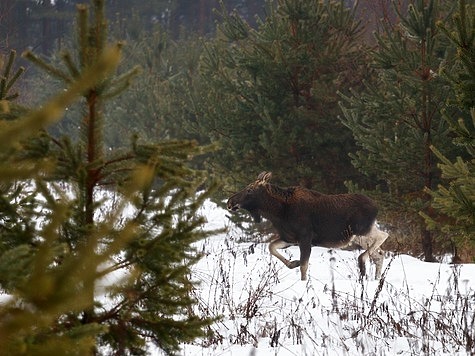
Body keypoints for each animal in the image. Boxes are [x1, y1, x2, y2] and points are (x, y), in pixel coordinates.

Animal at [228, 172, 390, 280]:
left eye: (249, 189)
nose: (230, 202)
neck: (278, 212)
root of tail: (376, 207)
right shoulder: (290, 238)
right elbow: (271, 247)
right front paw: (293, 262)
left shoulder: (305, 237)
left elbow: (304, 266)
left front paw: (303, 281)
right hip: (357, 237)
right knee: (379, 254)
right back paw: (375, 278)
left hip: (361, 229)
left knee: (384, 236)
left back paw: (362, 262)